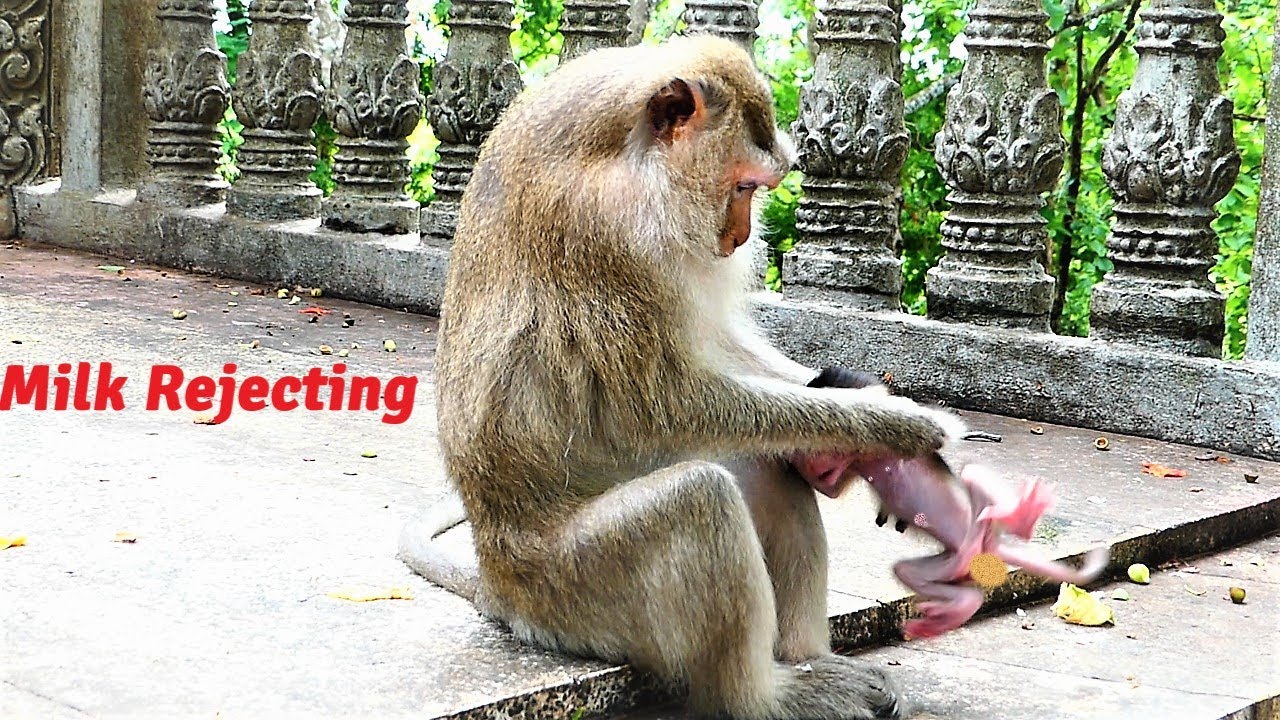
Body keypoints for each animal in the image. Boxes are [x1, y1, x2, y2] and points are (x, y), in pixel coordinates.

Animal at [400, 36, 967, 720]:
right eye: (743, 184)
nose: (739, 237)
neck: (627, 150)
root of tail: (497, 583)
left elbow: (712, 343)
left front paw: (854, 404)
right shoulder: (608, 233)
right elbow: (667, 402)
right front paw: (895, 425)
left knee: (761, 468)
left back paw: (810, 660)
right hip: (573, 587)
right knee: (700, 499)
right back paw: (762, 697)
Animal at [790, 368, 1109, 639]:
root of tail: (987, 548)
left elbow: (940, 430)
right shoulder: (850, 461)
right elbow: (829, 488)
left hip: (976, 527)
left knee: (972, 472)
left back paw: (1022, 518)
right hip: (954, 563)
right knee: (911, 572)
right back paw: (952, 611)